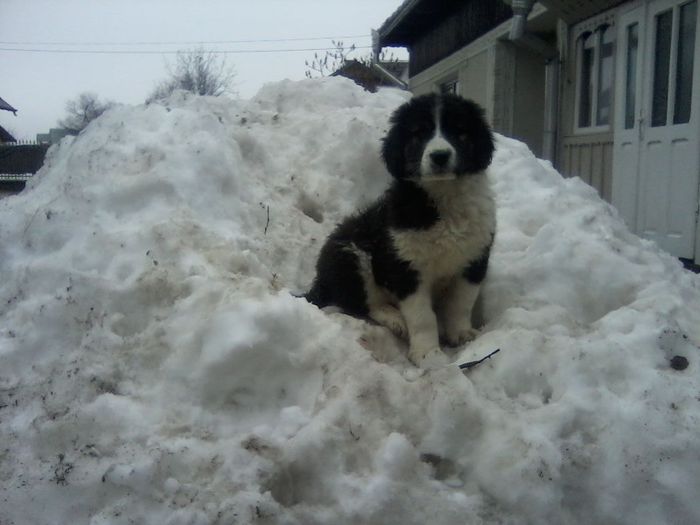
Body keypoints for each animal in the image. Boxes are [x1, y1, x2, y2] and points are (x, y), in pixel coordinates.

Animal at [304, 92, 494, 366]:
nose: (439, 156)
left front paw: (461, 334)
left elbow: (461, 302)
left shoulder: (474, 257)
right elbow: (422, 316)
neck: (443, 196)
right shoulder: (405, 266)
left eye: (459, 131)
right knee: (362, 303)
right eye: (418, 133)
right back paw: (395, 319)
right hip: (352, 254)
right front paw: (428, 354)